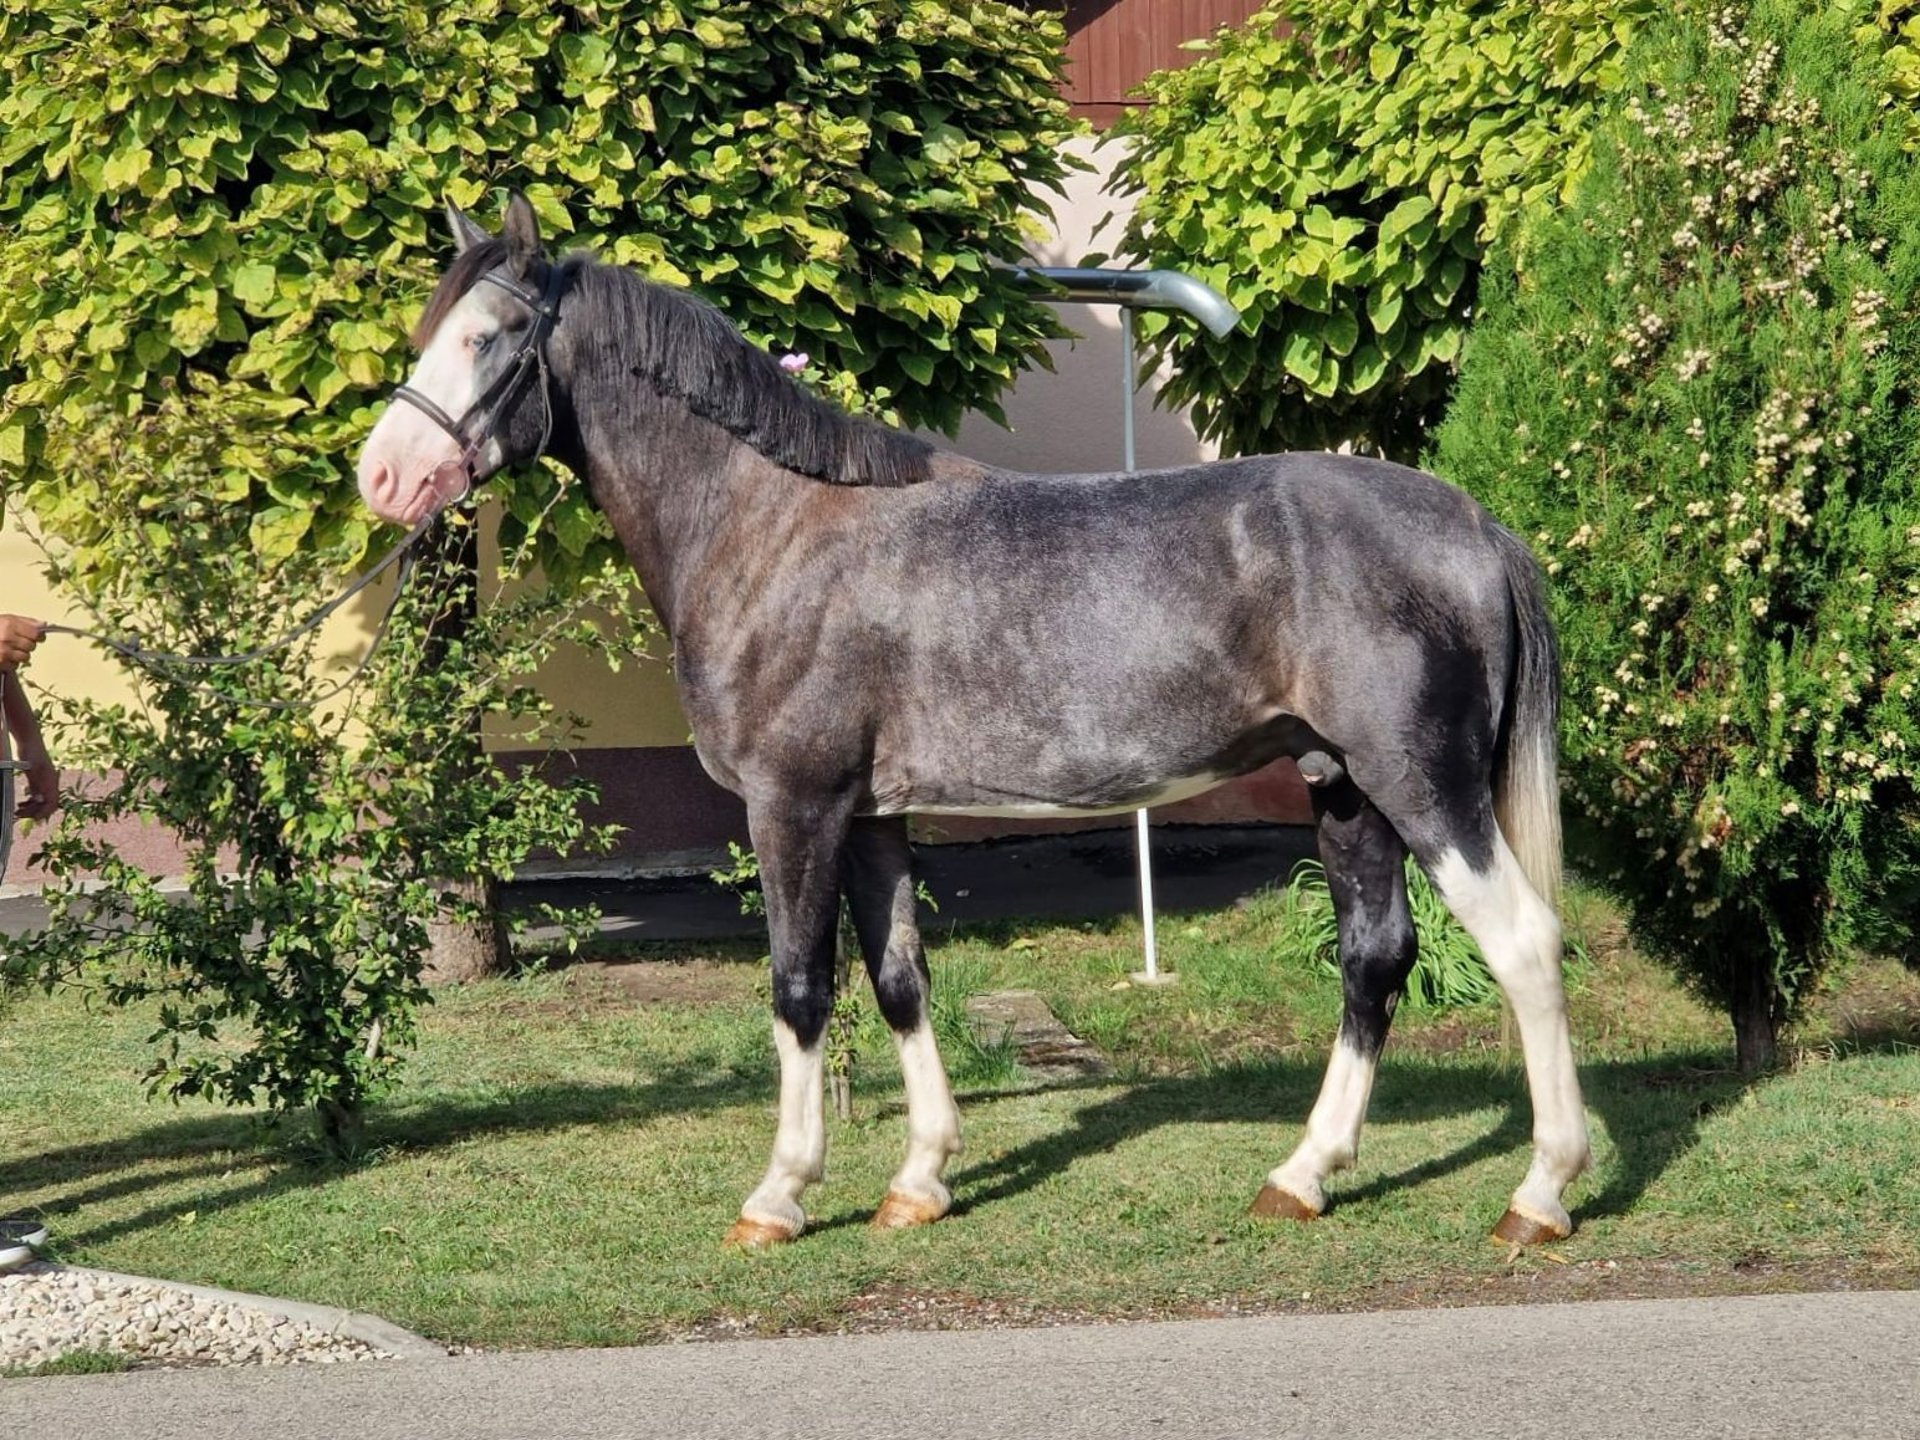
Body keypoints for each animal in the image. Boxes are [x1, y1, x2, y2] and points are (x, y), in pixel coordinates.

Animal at [360, 197, 1589, 1244]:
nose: (384, 476)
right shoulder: (871, 816)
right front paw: (919, 1183)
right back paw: (1302, 1176)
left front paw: (781, 1194)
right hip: (1345, 791)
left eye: (489, 336)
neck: (772, 528)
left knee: (1523, 944)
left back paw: (1540, 1193)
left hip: (1426, 790)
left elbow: (800, 988)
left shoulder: (794, 807)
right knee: (1373, 960)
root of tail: (1476, 526)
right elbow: (899, 976)